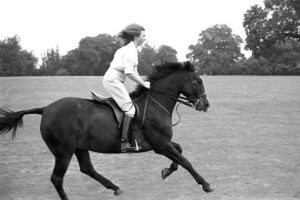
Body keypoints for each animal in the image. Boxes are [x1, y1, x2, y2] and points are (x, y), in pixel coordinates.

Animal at [0, 61, 212, 199]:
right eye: (198, 81)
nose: (205, 105)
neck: (155, 104)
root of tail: (45, 108)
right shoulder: (161, 145)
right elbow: (185, 161)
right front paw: (205, 184)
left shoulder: (162, 143)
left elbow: (180, 152)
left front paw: (167, 171)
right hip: (63, 152)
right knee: (57, 179)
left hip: (79, 147)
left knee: (87, 168)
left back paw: (115, 187)